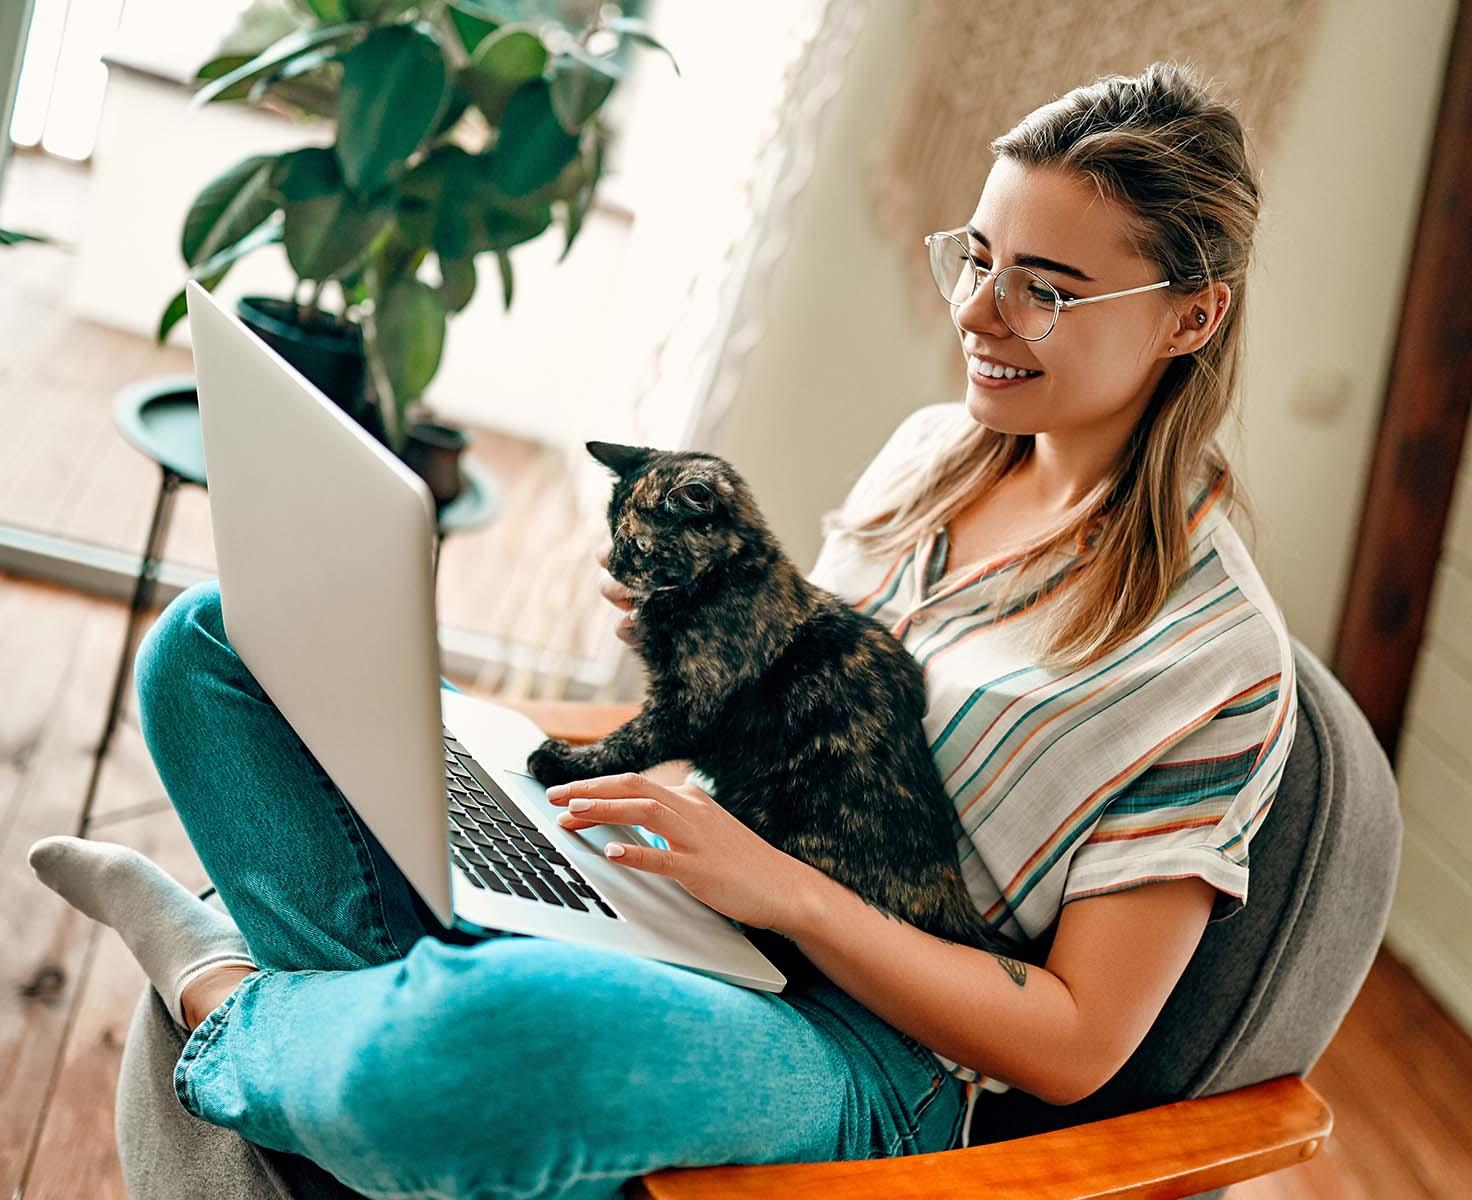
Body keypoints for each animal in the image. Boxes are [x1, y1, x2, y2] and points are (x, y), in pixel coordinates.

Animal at [524, 441, 1030, 965]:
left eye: (640, 545)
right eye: (612, 532)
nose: (613, 565)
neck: (728, 578)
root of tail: (952, 893)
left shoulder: (689, 705)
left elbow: (628, 742)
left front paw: (564, 762)